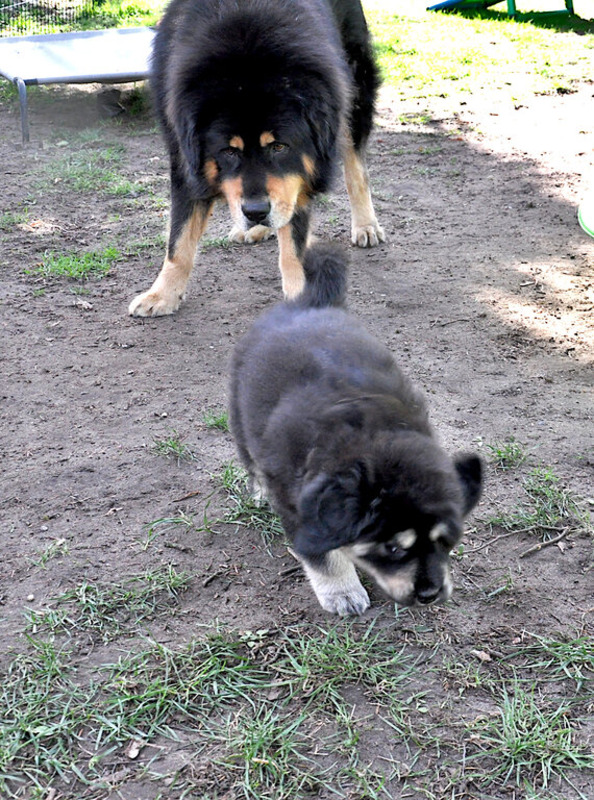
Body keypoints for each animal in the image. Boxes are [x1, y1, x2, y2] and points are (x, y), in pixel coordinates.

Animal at [129, 0, 385, 317]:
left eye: (279, 147)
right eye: (228, 151)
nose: (255, 211)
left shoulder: (296, 178)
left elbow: (293, 244)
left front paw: (301, 297)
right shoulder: (185, 162)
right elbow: (179, 239)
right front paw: (162, 294)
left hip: (355, 94)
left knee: (356, 169)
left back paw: (366, 225)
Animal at [229, 244, 483, 615]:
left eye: (447, 541)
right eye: (393, 548)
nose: (430, 593)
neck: (372, 438)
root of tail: (312, 302)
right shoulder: (300, 510)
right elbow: (322, 555)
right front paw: (343, 593)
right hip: (239, 410)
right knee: (249, 457)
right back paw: (259, 490)